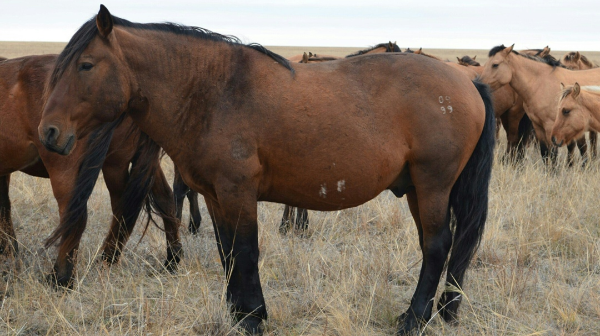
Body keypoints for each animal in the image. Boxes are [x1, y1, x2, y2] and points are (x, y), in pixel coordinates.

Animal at [0, 53, 182, 288]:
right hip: (129, 162)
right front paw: (10, 254)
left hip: (86, 166)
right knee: (160, 201)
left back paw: (62, 278)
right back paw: (169, 261)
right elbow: (4, 209)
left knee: (77, 216)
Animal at [39, 6, 494, 334]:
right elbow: (227, 254)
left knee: (436, 245)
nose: (49, 132)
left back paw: (414, 319)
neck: (213, 91)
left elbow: (246, 251)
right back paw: (442, 309)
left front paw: (254, 316)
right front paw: (237, 314)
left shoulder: (239, 191)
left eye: (86, 65)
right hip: (418, 188)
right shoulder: (214, 195)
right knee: (443, 245)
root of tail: (469, 83)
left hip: (432, 185)